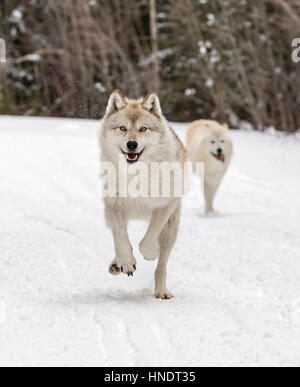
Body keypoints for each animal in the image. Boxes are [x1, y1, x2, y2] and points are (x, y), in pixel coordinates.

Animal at [99, 91, 186, 300]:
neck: (136, 174)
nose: (132, 144)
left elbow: (149, 239)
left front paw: (151, 252)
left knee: (161, 265)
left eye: (143, 129)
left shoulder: (165, 205)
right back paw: (117, 265)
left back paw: (161, 291)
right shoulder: (112, 205)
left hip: (171, 228)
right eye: (123, 128)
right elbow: (120, 235)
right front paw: (125, 261)